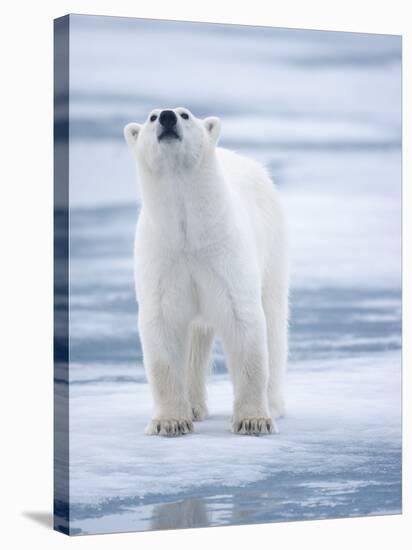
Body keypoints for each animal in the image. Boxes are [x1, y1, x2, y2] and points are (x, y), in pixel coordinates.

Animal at [124, 106, 288, 436]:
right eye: (151, 117)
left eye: (185, 114)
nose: (167, 117)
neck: (190, 235)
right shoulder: (163, 257)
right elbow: (163, 329)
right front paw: (169, 422)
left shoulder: (224, 253)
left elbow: (246, 325)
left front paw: (253, 420)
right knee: (194, 340)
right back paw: (194, 406)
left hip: (273, 247)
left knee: (274, 324)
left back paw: (273, 405)